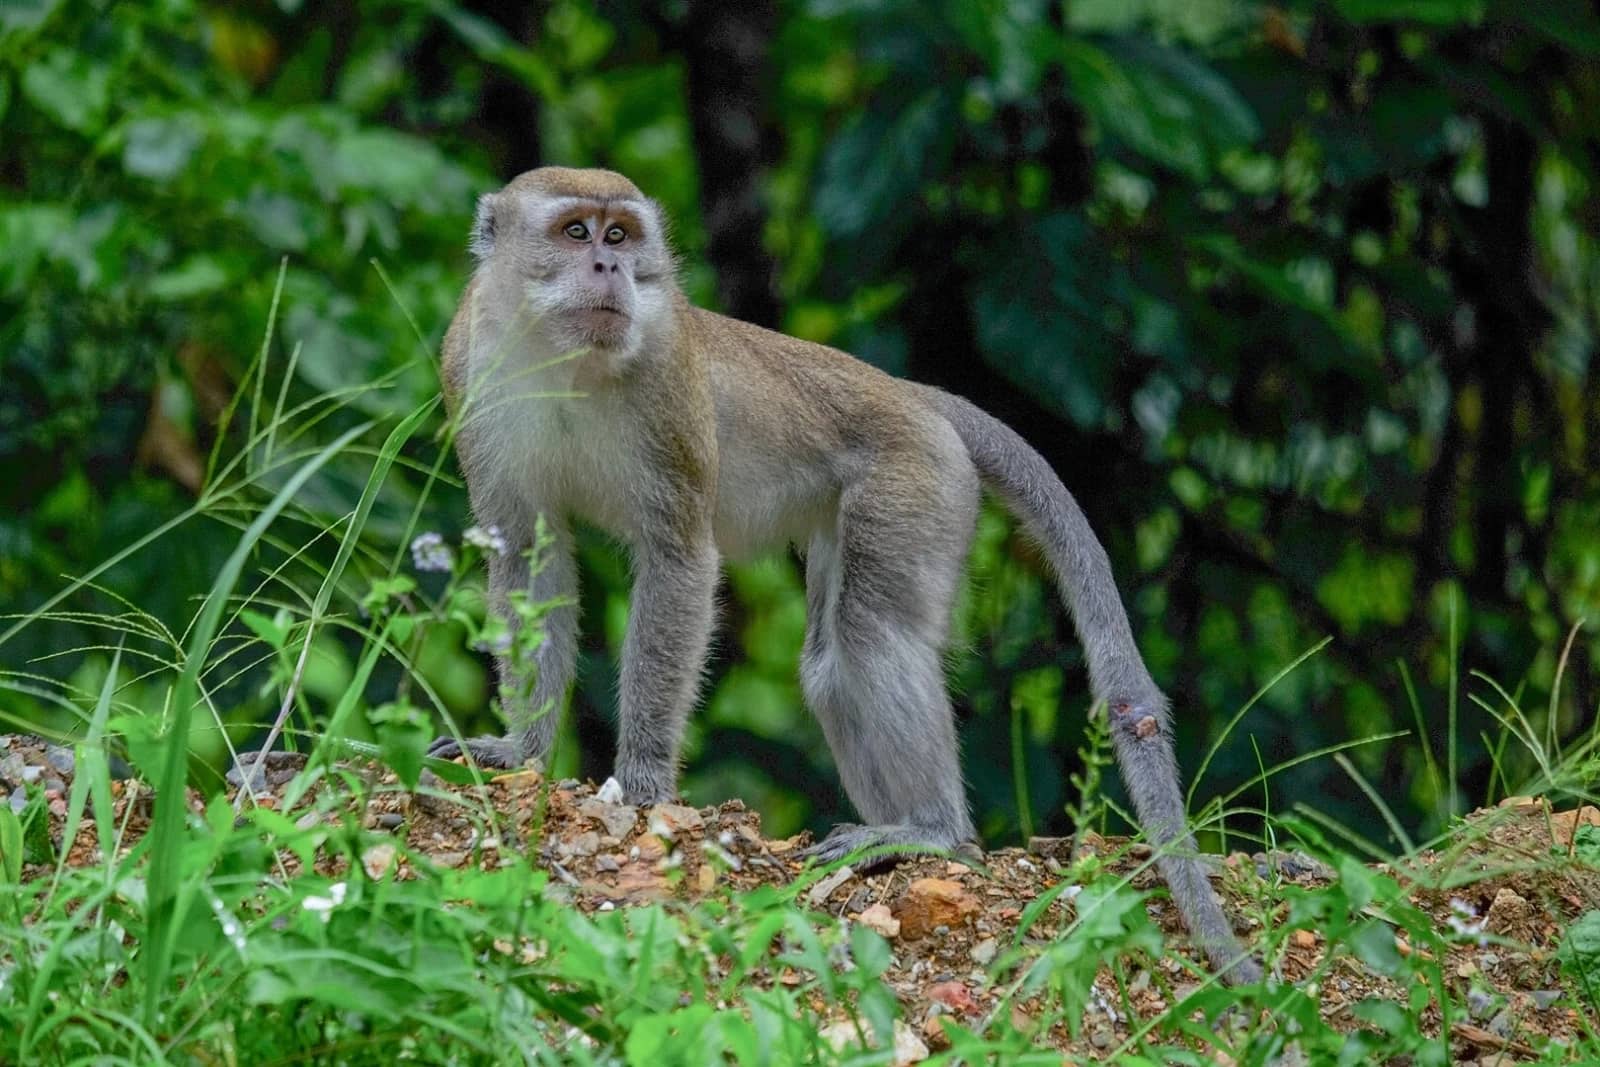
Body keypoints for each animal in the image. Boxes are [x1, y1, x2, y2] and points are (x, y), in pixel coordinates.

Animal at [427, 167, 1261, 984]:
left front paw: (640, 782)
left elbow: (678, 560)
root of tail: (910, 393)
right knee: (833, 663)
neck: (564, 360)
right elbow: (526, 557)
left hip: (915, 481)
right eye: (576, 232)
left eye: (621, 234)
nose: (611, 268)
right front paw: (521, 750)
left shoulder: (668, 391)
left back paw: (930, 834)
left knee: (872, 635)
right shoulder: (469, 370)